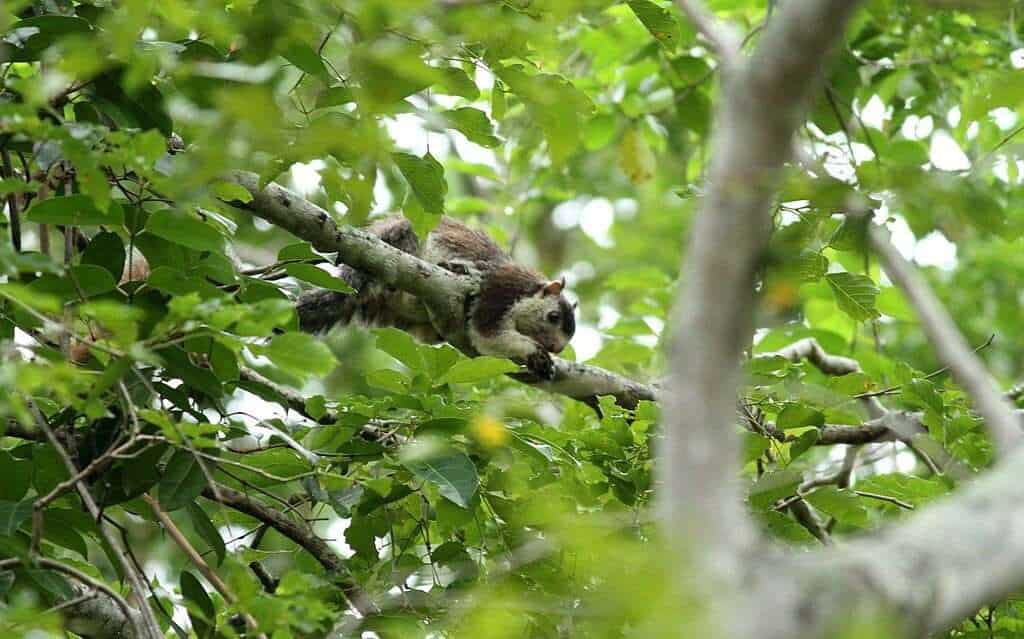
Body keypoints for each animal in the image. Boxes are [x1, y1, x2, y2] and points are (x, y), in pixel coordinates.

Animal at [299, 215, 581, 378]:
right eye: (553, 316)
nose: (557, 348)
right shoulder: (500, 291)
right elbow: (487, 334)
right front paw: (535, 353)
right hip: (400, 242)